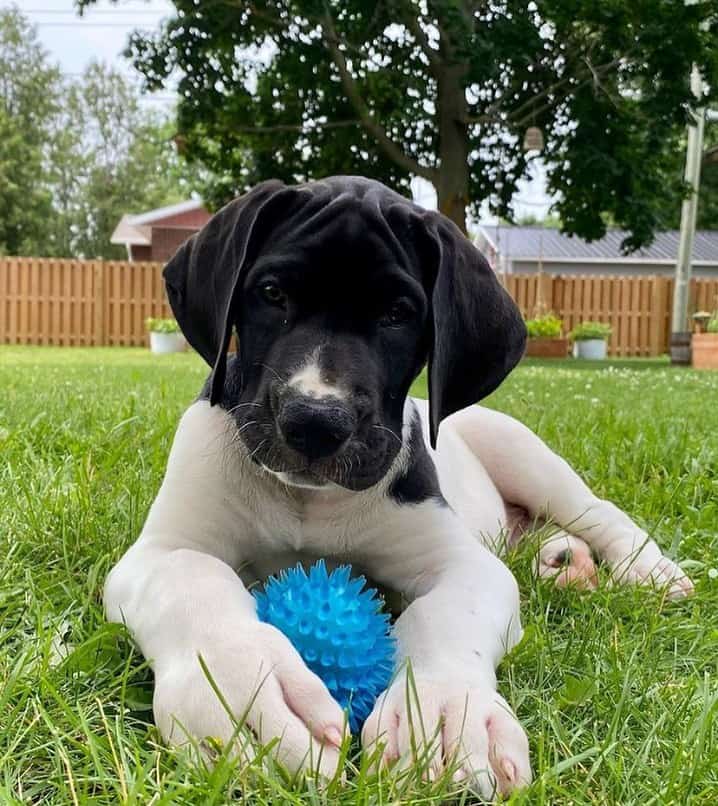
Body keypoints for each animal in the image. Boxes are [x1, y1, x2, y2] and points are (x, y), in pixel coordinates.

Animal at [104, 174, 696, 800]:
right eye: (271, 293)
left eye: (397, 314)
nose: (316, 421)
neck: (309, 502)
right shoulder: (162, 550)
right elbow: (193, 579)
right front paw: (242, 696)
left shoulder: (463, 564)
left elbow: (443, 615)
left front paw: (445, 715)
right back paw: (564, 564)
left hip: (520, 448)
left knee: (595, 510)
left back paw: (648, 571)